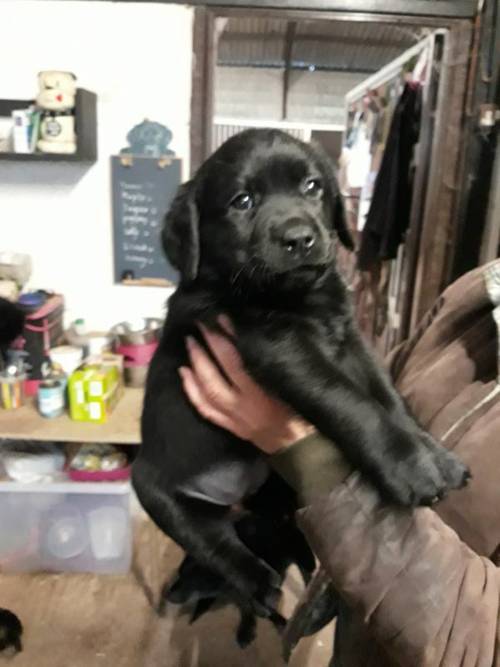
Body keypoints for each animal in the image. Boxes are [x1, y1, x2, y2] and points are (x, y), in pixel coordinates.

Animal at [133, 130, 468, 632]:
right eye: (242, 201)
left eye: (312, 186)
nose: (299, 238)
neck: (298, 297)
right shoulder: (281, 349)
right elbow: (352, 403)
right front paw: (410, 467)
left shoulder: (352, 341)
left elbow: (387, 397)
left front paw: (433, 454)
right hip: (158, 491)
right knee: (215, 544)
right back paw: (261, 584)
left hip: (274, 496)